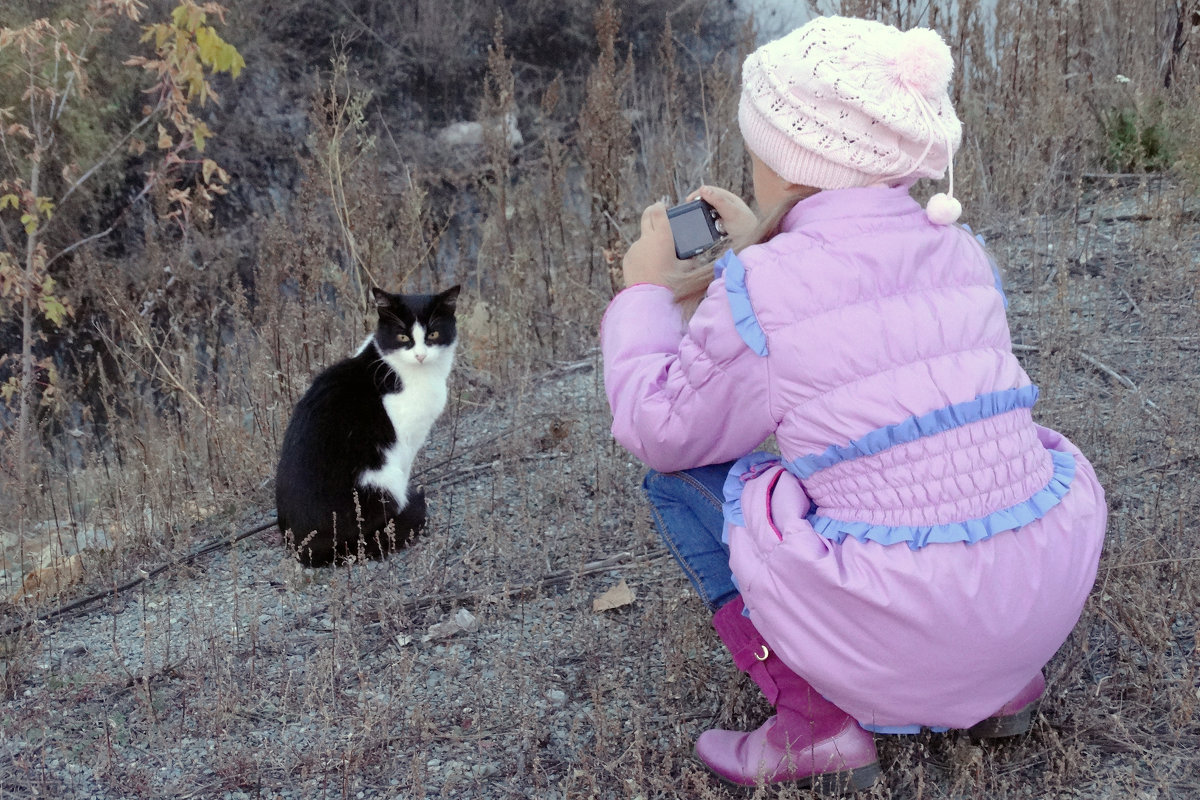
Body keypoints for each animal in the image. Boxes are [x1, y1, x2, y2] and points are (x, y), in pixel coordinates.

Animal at [274, 284, 458, 566]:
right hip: (379, 479)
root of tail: (306, 548)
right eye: (403, 337)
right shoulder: (404, 444)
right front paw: (407, 509)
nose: (420, 355)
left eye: (434, 334)